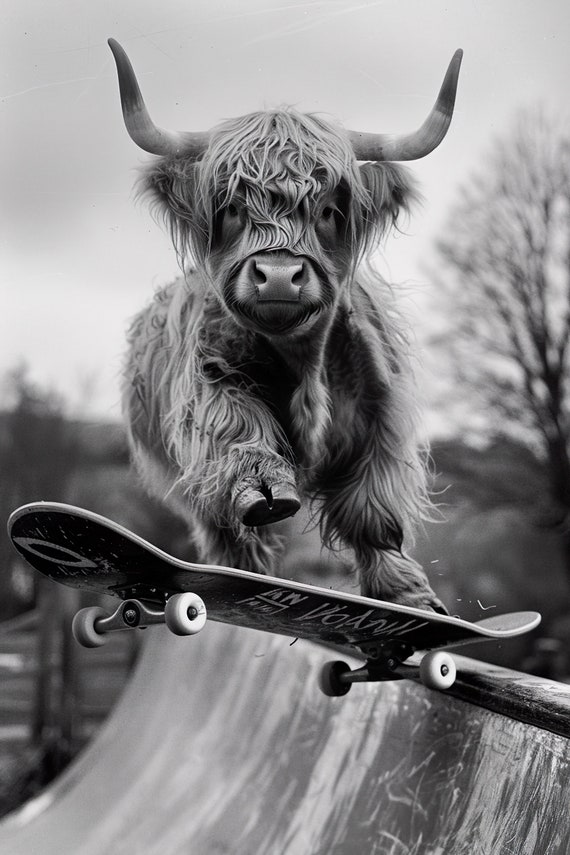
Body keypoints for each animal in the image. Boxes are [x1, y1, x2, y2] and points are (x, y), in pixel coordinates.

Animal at [108, 39, 462, 611]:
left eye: (329, 210)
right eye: (231, 208)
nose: (277, 275)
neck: (305, 363)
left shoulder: (381, 412)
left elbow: (373, 511)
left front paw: (409, 598)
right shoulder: (209, 383)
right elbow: (238, 432)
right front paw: (266, 490)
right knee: (228, 537)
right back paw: (237, 584)